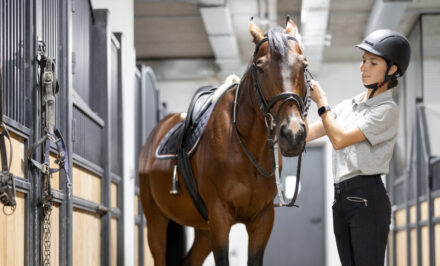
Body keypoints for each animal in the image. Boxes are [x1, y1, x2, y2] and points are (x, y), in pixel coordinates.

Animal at [140, 17, 310, 264]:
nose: (293, 133)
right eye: (260, 68)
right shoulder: (220, 217)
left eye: (304, 65)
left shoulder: (262, 219)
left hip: (202, 229)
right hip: (156, 220)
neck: (247, 150)